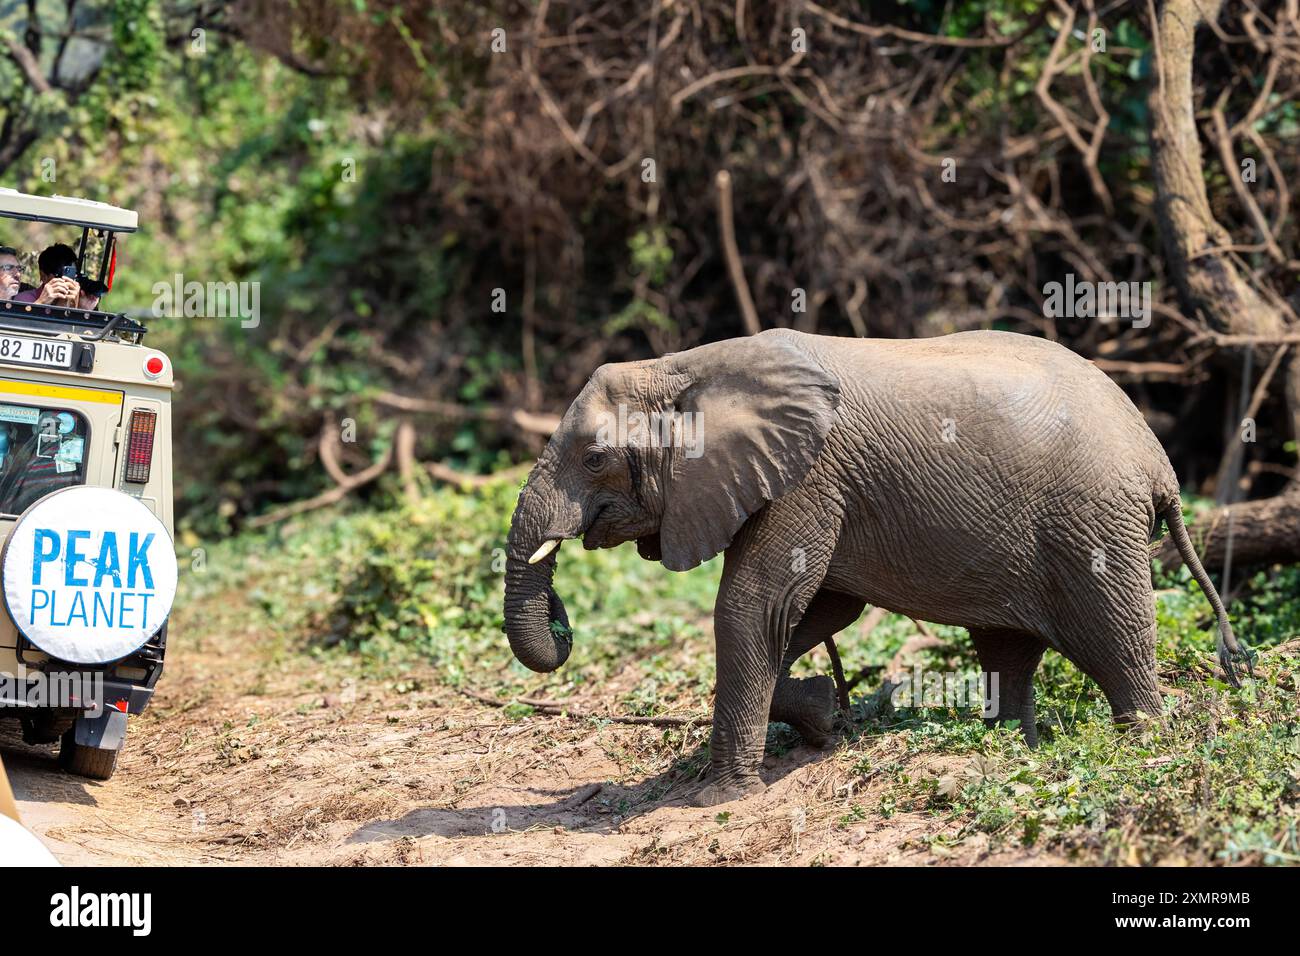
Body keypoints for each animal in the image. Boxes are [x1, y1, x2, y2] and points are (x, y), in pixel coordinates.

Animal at [499, 329, 1248, 806]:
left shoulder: (808, 476)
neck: (683, 366)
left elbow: (753, 605)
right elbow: (821, 607)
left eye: (595, 457)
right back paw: (1011, 745)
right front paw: (823, 714)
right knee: (1008, 650)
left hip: (1093, 525)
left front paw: (719, 796)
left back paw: (1142, 747)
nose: (562, 618)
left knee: (1115, 637)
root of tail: (1160, 466)